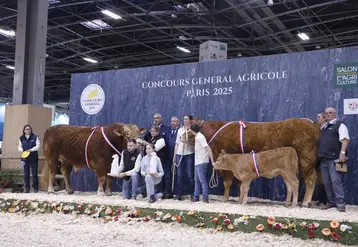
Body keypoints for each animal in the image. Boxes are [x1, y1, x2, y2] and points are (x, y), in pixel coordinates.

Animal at [186, 117, 320, 206]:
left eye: (189, 127)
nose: (182, 137)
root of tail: (313, 125)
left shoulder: (229, 165)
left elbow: (227, 183)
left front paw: (225, 198)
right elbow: (240, 184)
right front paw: (239, 199)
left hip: (306, 159)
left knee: (311, 178)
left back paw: (305, 202)